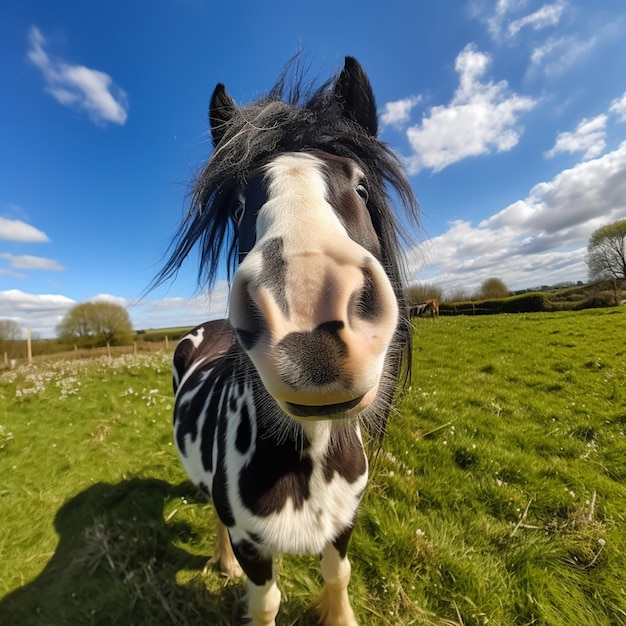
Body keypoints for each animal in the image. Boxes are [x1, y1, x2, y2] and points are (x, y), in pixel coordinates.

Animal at [158, 58, 416, 624]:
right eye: (237, 207)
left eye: (361, 188)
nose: (308, 322)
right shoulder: (251, 540)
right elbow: (266, 599)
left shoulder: (344, 522)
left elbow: (338, 574)